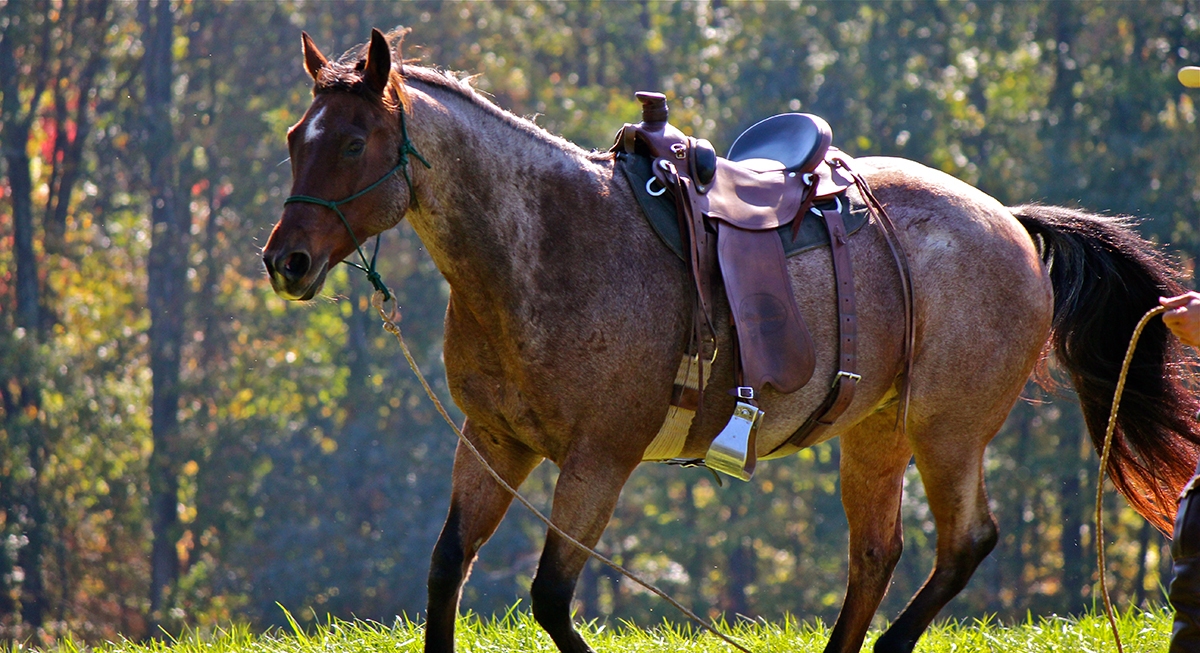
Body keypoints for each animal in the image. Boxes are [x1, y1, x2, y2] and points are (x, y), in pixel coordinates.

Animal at [262, 29, 1200, 653]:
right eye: (295, 139)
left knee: (963, 542)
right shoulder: (494, 440)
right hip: (877, 432)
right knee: (877, 552)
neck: (551, 246)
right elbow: (447, 569)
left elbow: (552, 597)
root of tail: (1009, 218)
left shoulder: (599, 458)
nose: (286, 261)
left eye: (354, 141)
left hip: (948, 430)